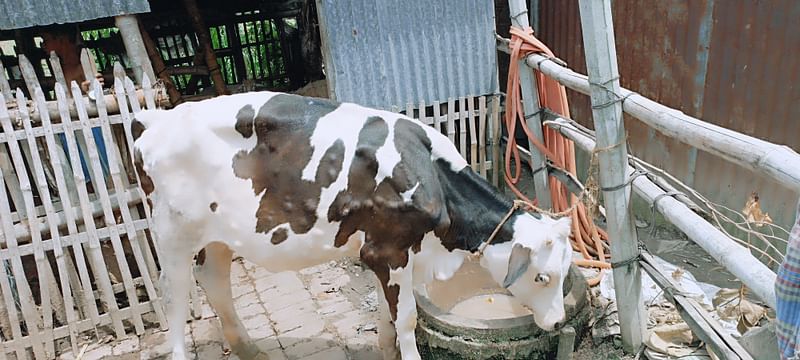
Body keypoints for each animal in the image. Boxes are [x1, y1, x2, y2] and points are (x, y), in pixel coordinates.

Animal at [131, 91, 572, 358]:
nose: (558, 321)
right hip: (172, 234)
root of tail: (156, 121)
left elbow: (388, 316)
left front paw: (385, 351)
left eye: (566, 272)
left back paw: (250, 350)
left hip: (217, 234)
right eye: (542, 277)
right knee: (174, 297)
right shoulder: (388, 251)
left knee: (215, 280)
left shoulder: (388, 248)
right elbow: (406, 318)